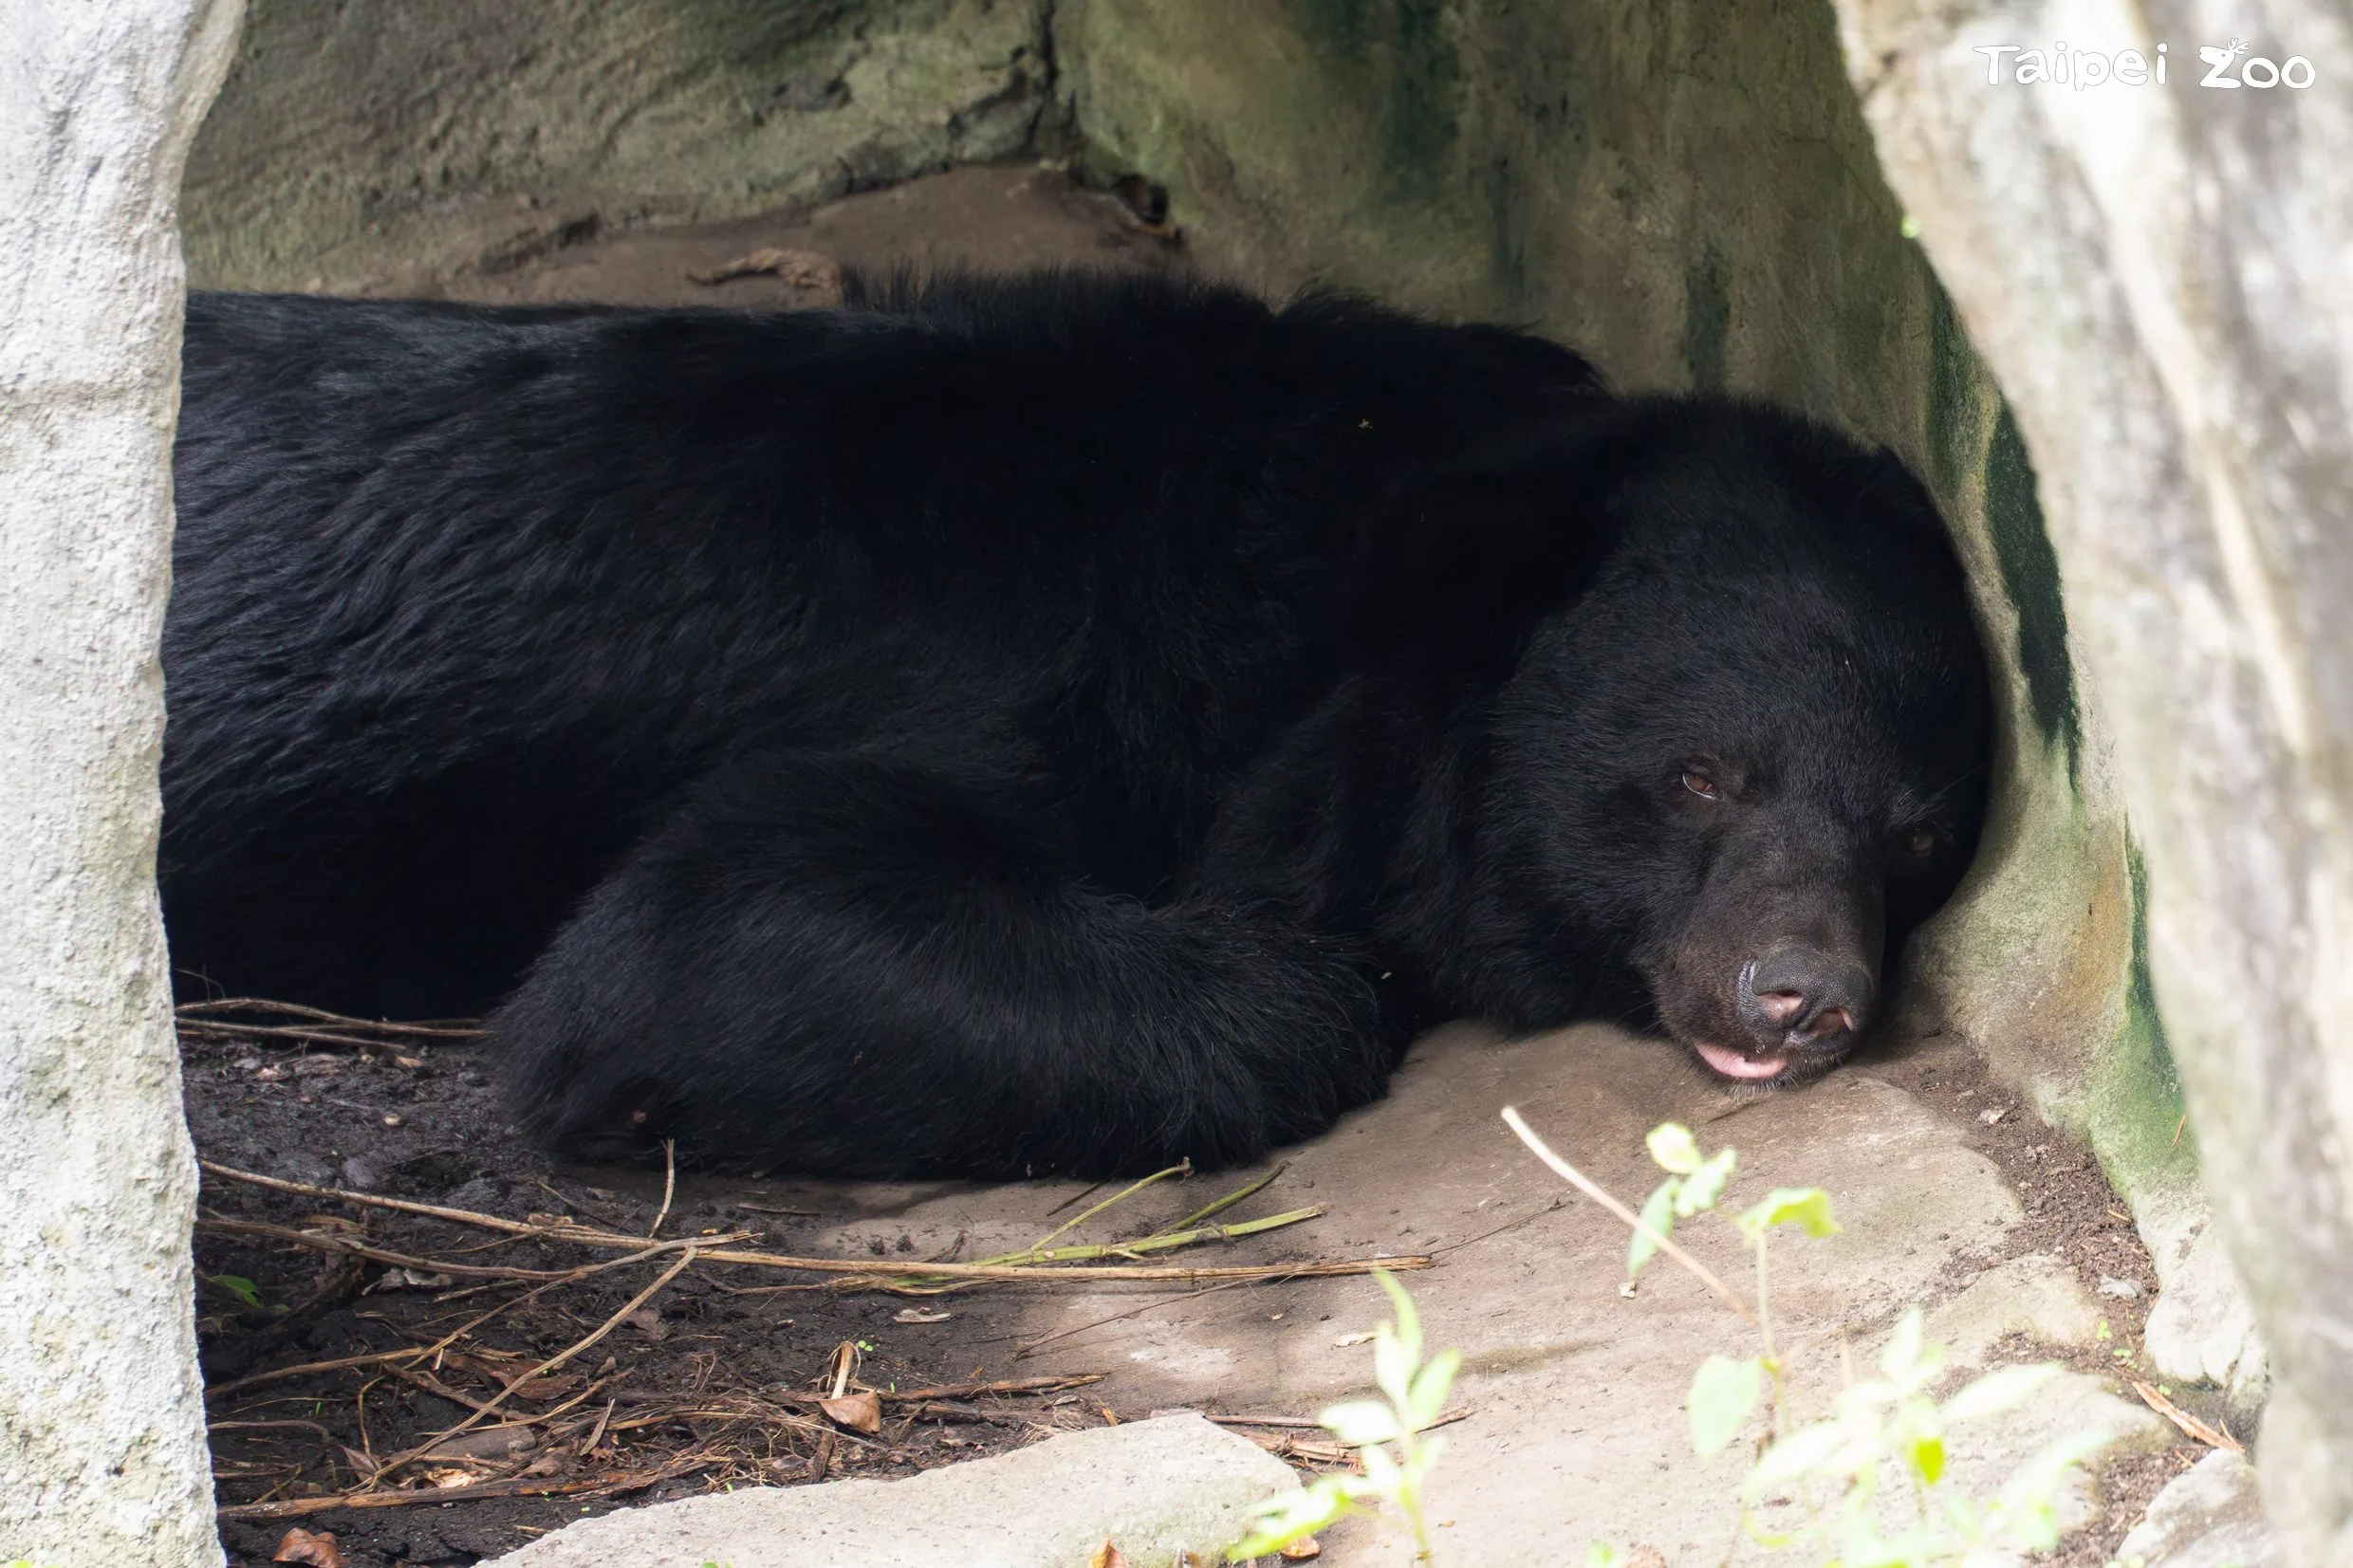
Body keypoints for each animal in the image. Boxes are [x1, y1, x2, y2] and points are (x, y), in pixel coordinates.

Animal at [163, 270, 1990, 1180]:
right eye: (1699, 777)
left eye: (1913, 835)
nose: (1801, 994)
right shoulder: (1053, 693)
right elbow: (700, 933)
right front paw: (1322, 977)